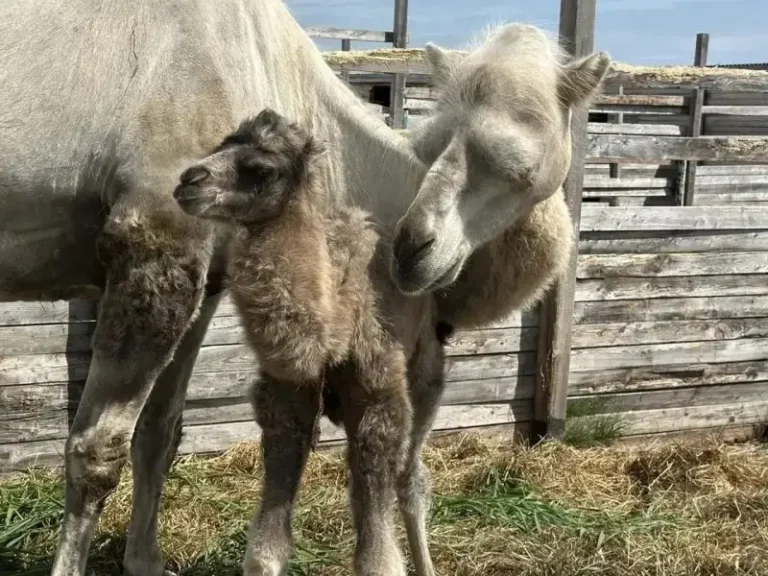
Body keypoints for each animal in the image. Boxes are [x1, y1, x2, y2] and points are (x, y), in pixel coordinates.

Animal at [174, 108, 440, 575]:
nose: (189, 180)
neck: (335, 324)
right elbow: (267, 546)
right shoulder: (286, 400)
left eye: (261, 169)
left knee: (412, 478)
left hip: (425, 376)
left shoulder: (379, 399)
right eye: (218, 146)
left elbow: (376, 557)